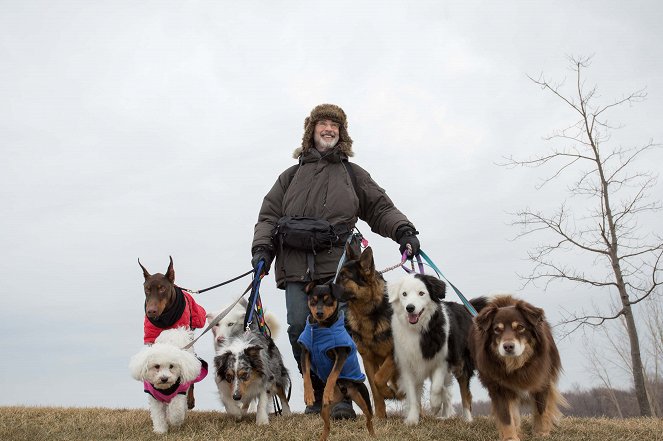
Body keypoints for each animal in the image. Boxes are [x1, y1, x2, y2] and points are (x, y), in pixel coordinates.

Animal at [300, 282, 376, 440]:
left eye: (328, 300)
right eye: (313, 300)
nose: (319, 313)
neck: (320, 328)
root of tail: (345, 393)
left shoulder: (341, 354)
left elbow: (332, 375)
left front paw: (327, 392)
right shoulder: (305, 352)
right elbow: (306, 375)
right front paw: (309, 395)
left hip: (363, 398)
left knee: (369, 420)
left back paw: (373, 435)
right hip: (325, 408)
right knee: (327, 424)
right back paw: (322, 437)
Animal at [338, 246, 400, 418]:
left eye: (344, 277)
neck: (368, 315)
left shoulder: (393, 355)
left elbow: (380, 378)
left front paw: (389, 393)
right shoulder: (368, 360)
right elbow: (375, 387)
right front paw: (380, 416)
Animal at [390, 274, 482, 424]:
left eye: (421, 293)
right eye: (404, 294)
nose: (410, 308)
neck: (418, 329)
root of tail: (464, 307)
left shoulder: (442, 361)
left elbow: (436, 388)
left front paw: (434, 406)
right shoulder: (407, 365)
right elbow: (412, 394)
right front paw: (412, 419)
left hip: (461, 363)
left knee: (465, 393)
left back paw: (467, 419)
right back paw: (446, 416)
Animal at [470, 296, 568, 440]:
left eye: (520, 327)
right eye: (497, 329)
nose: (508, 346)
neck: (517, 365)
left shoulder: (542, 380)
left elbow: (541, 409)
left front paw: (542, 433)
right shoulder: (499, 387)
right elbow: (506, 417)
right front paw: (510, 437)